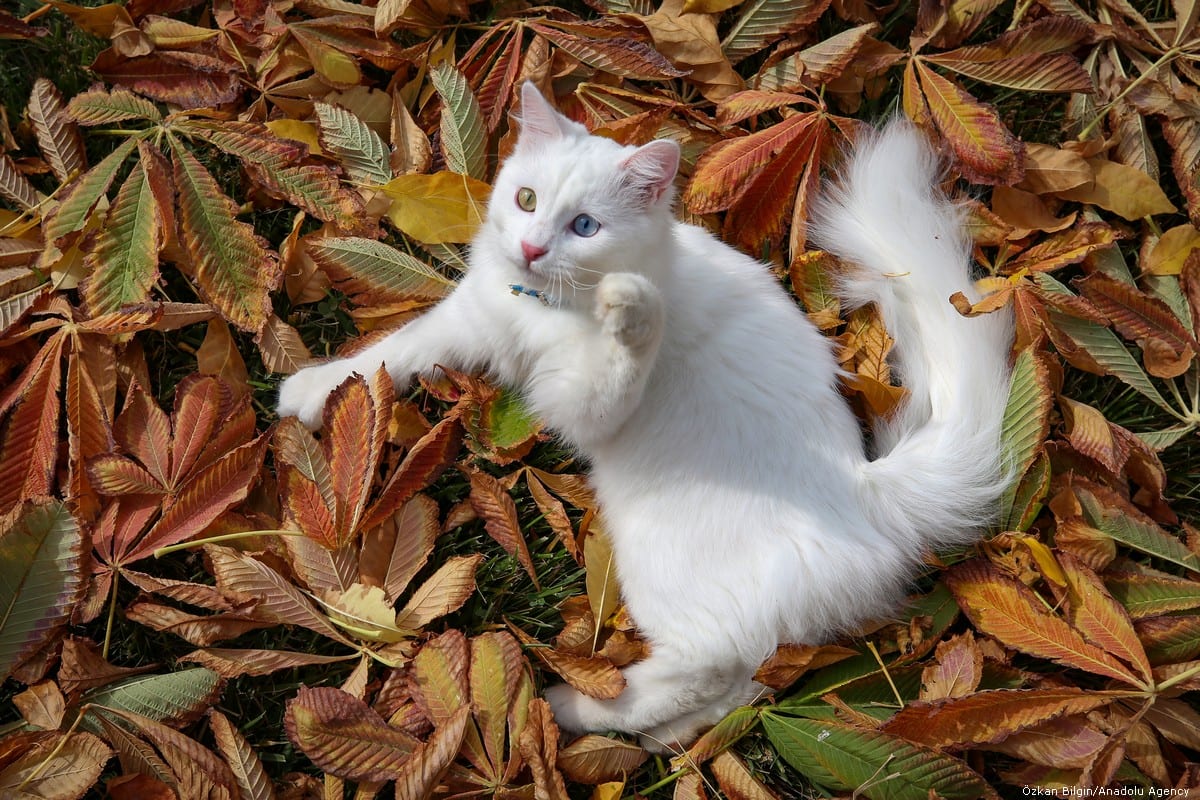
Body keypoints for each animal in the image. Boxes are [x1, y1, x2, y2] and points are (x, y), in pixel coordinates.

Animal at [278, 84, 1012, 753]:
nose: (534, 249)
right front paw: (312, 392)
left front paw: (632, 311)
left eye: (585, 227)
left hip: (668, 575)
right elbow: (391, 352)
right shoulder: (468, 320)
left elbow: (618, 363)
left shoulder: (582, 406)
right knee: (742, 688)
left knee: (703, 673)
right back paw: (661, 739)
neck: (539, 307)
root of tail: (866, 489)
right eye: (526, 201)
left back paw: (573, 707)